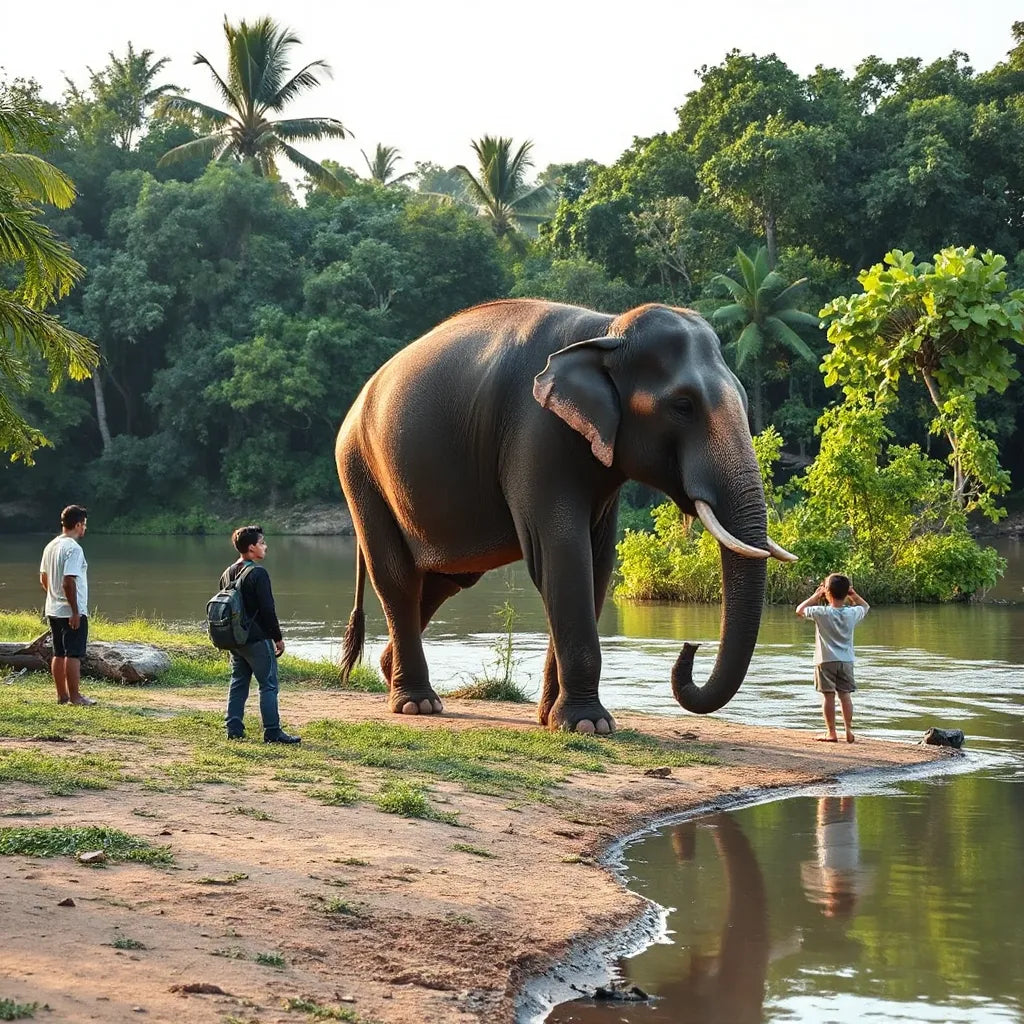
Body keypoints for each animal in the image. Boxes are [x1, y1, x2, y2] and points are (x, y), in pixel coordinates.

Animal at [335, 299, 794, 733]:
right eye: (683, 405)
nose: (690, 646)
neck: (606, 331)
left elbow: (597, 562)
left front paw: (552, 719)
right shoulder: (534, 431)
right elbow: (562, 554)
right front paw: (590, 725)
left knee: (446, 579)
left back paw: (390, 669)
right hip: (359, 470)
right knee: (397, 577)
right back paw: (417, 704)